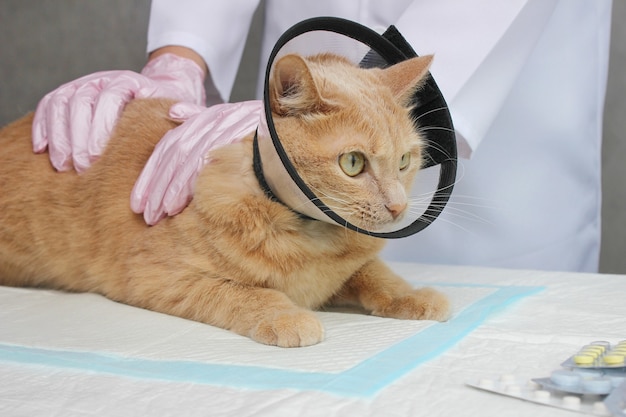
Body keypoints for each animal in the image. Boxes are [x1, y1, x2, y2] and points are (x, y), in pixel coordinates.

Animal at [0, 53, 448, 346]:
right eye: (352, 163)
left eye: (405, 160)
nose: (397, 207)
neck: (311, 241)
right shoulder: (157, 275)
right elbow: (246, 292)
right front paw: (286, 314)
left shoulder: (347, 269)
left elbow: (376, 274)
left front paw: (411, 295)